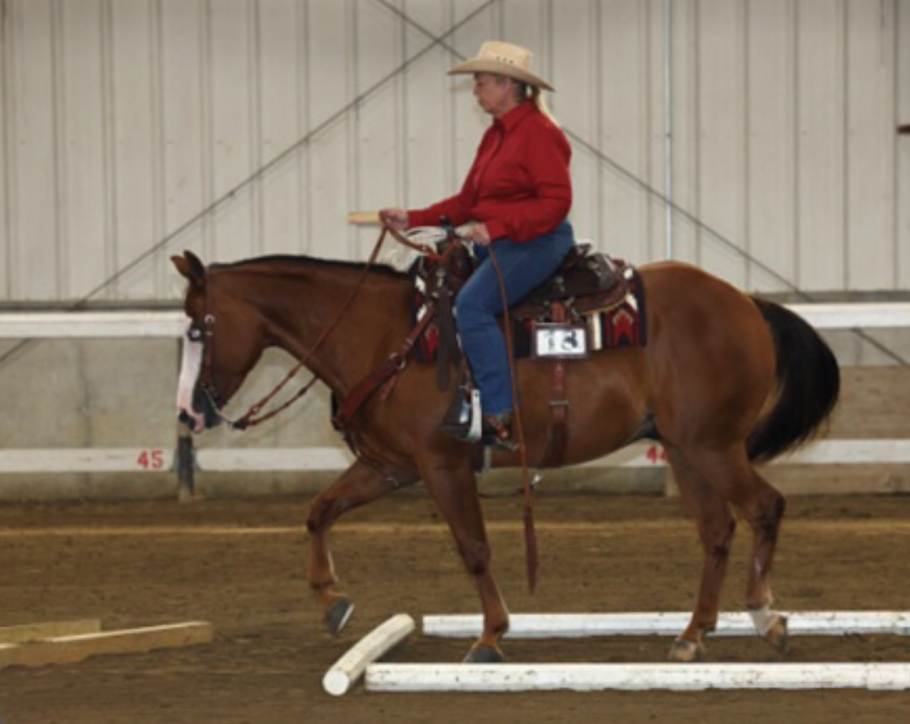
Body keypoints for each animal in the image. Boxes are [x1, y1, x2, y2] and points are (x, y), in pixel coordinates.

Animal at [171, 247, 840, 660]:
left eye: (198, 329)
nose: (190, 414)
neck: (387, 336)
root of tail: (747, 303)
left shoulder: (441, 466)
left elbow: (474, 548)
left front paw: (491, 636)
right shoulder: (390, 467)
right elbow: (319, 511)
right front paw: (332, 602)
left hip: (713, 445)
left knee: (765, 508)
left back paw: (766, 617)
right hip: (684, 448)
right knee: (717, 530)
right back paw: (692, 635)